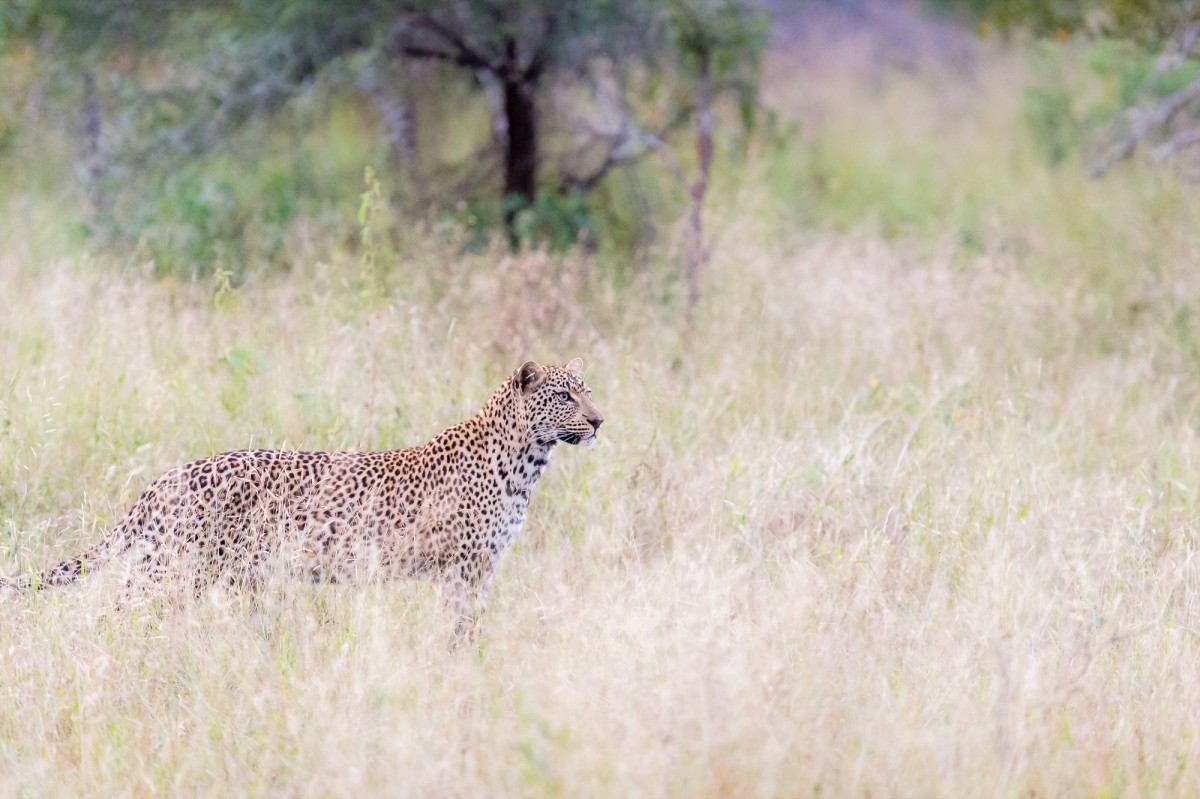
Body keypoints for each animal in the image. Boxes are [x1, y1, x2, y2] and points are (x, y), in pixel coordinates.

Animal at [0, 357, 600, 638]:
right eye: (564, 395)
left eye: (588, 391)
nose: (598, 421)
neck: (527, 462)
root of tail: (164, 480)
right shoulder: (465, 569)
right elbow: (462, 630)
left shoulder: (478, 570)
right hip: (172, 570)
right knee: (116, 615)